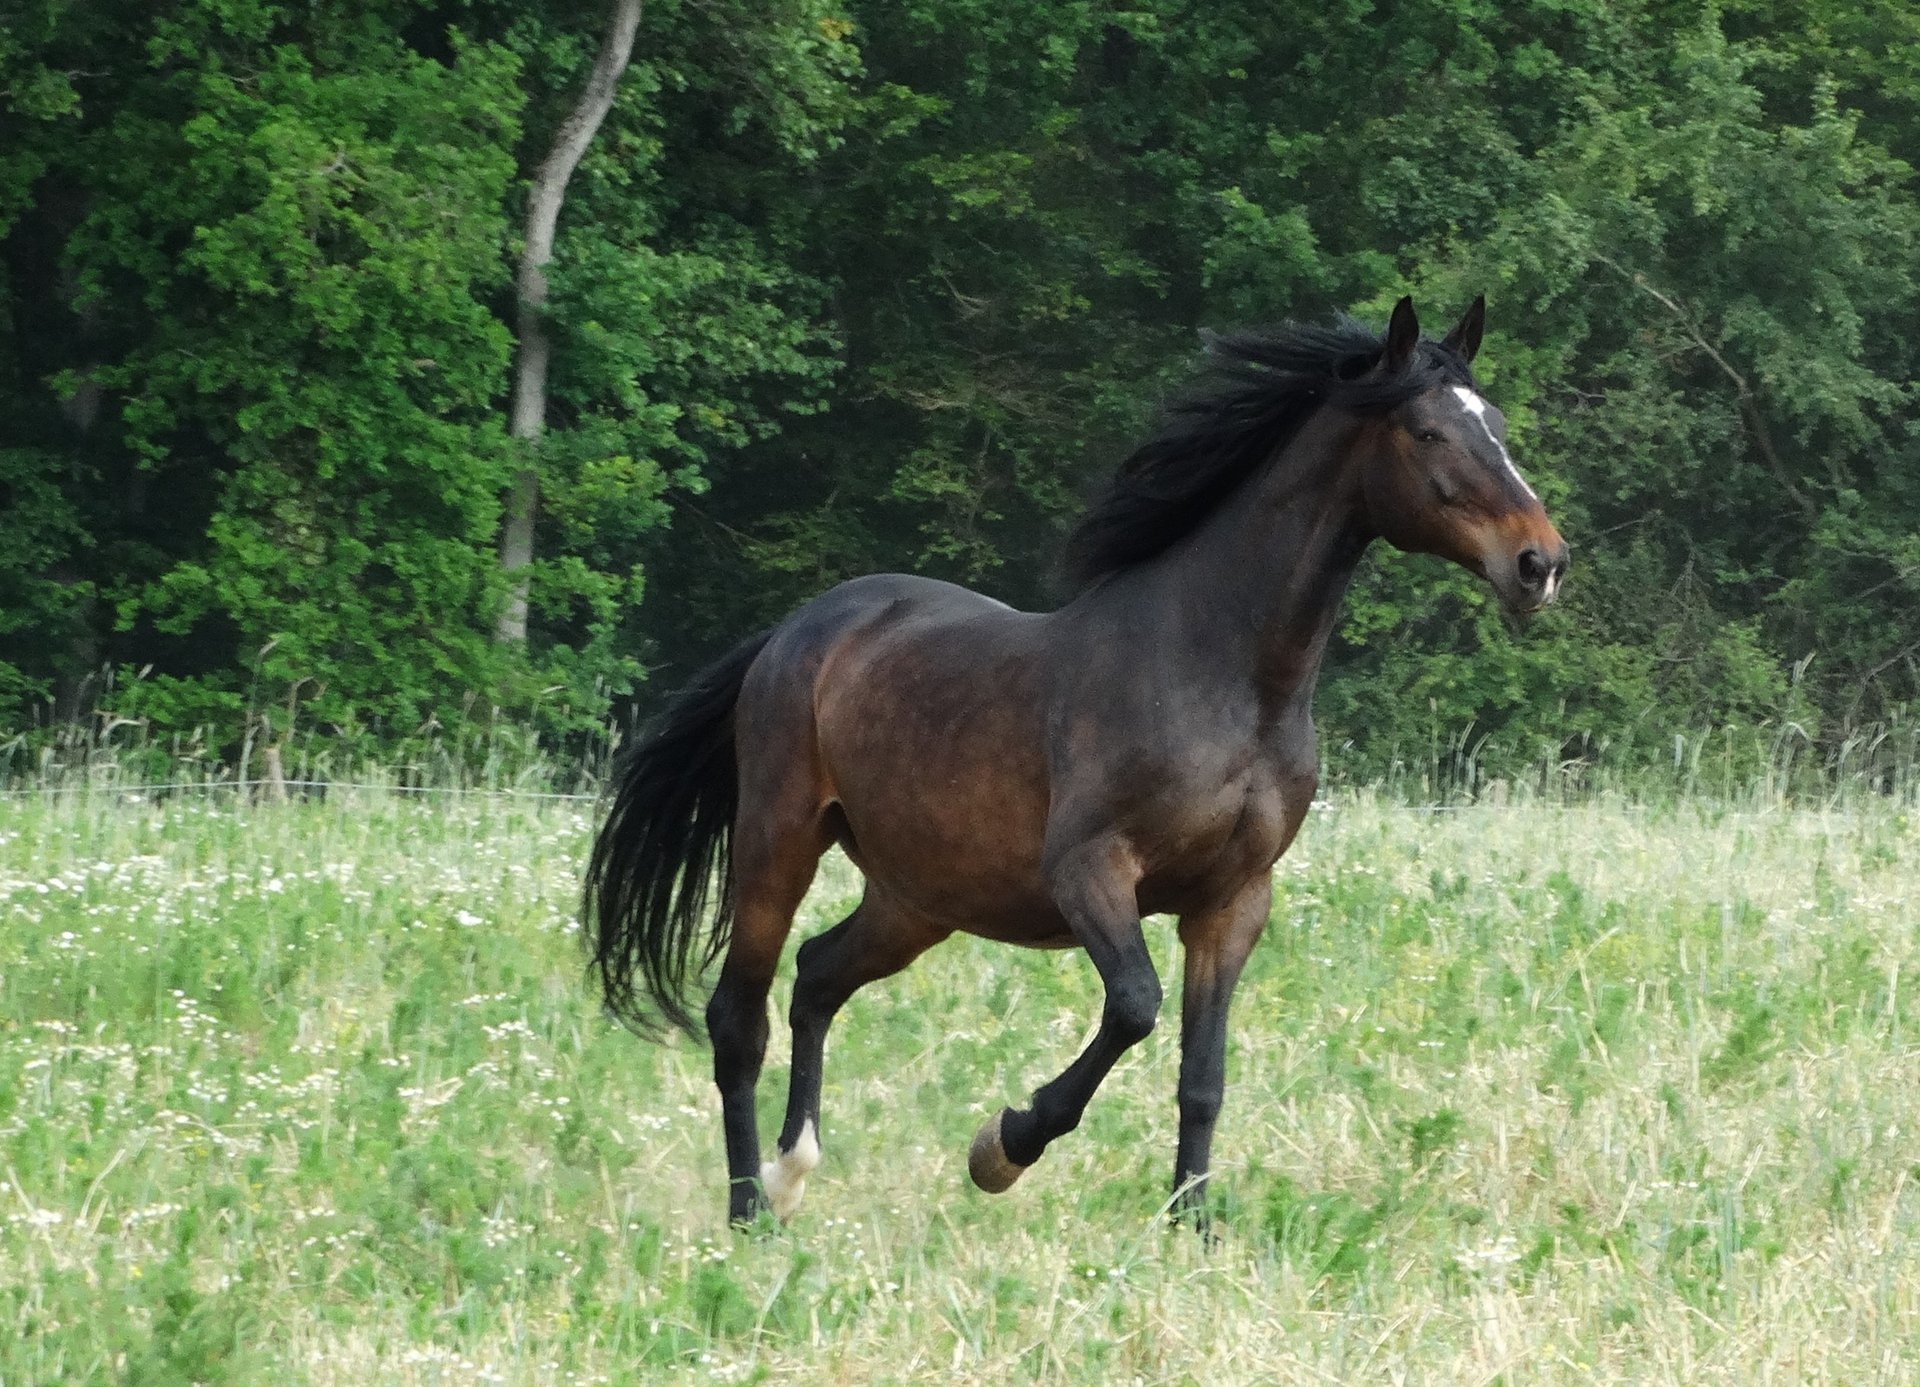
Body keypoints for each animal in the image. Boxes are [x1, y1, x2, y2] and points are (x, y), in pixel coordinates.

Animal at [584, 296, 1568, 1228]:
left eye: (1497, 423)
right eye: (1428, 431)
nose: (1541, 564)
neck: (1220, 671)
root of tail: (796, 630)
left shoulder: (1232, 901)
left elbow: (1202, 1076)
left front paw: (1193, 1227)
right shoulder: (1091, 870)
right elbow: (1134, 1006)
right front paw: (1003, 1146)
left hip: (918, 897)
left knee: (818, 975)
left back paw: (794, 1173)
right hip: (778, 842)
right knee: (737, 1018)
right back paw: (750, 1208)